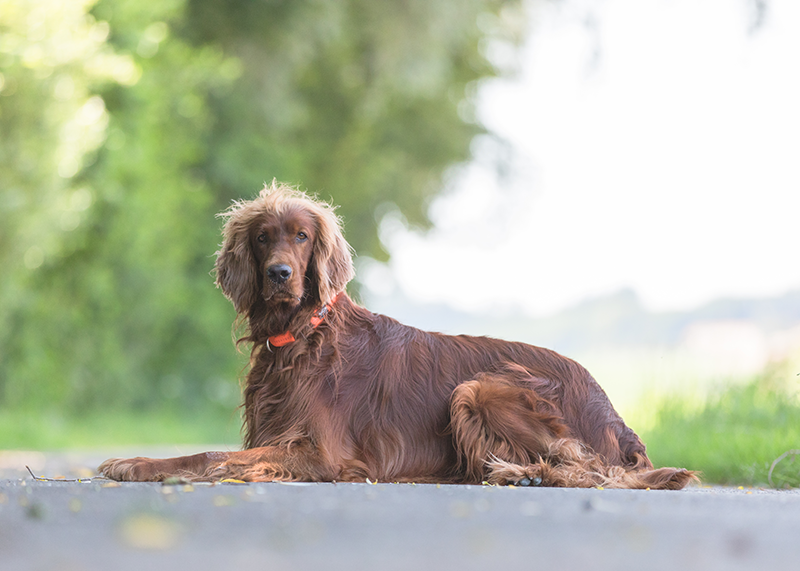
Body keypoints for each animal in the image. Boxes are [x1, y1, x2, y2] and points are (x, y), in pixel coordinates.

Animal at [100, 181, 696, 490]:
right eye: (265, 236)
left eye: (302, 235)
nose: (279, 274)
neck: (303, 336)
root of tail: (613, 411)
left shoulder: (323, 454)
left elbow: (211, 455)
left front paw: (136, 464)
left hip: (477, 387)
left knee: (593, 470)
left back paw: (523, 474)